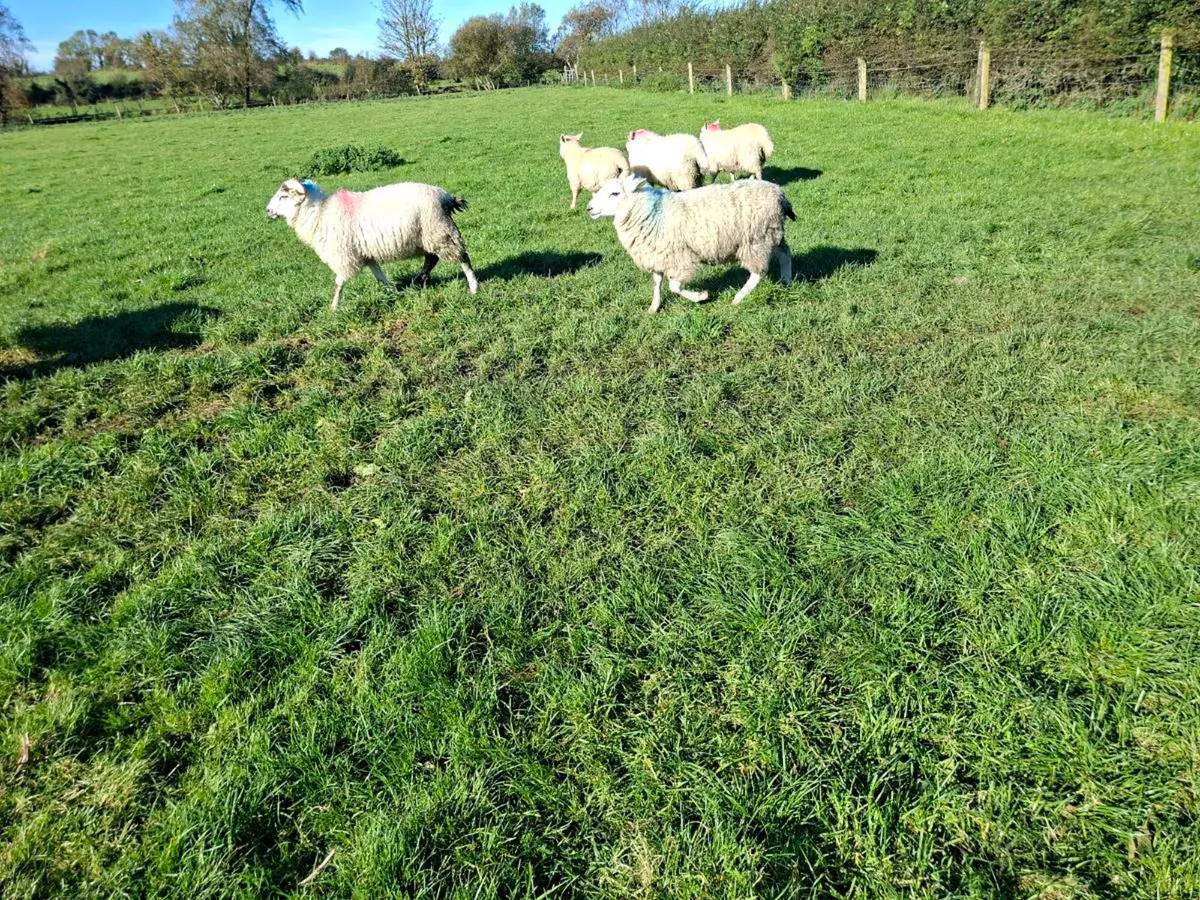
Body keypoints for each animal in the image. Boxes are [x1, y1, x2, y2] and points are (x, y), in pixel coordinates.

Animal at [265, 178, 478, 310]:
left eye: (283, 196)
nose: (268, 210)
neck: (320, 214)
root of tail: (445, 196)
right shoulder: (366, 255)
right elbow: (380, 276)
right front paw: (394, 292)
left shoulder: (344, 256)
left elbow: (339, 283)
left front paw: (334, 308)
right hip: (430, 237)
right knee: (431, 259)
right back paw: (419, 280)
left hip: (440, 232)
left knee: (463, 258)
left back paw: (474, 287)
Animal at [587, 174, 794, 314]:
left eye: (614, 193)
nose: (589, 208)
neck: (652, 212)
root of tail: (779, 192)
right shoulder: (658, 254)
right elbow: (657, 282)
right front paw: (654, 307)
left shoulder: (680, 257)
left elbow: (674, 287)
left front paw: (701, 297)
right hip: (772, 233)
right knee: (785, 253)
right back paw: (786, 280)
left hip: (756, 239)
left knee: (758, 272)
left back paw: (738, 297)